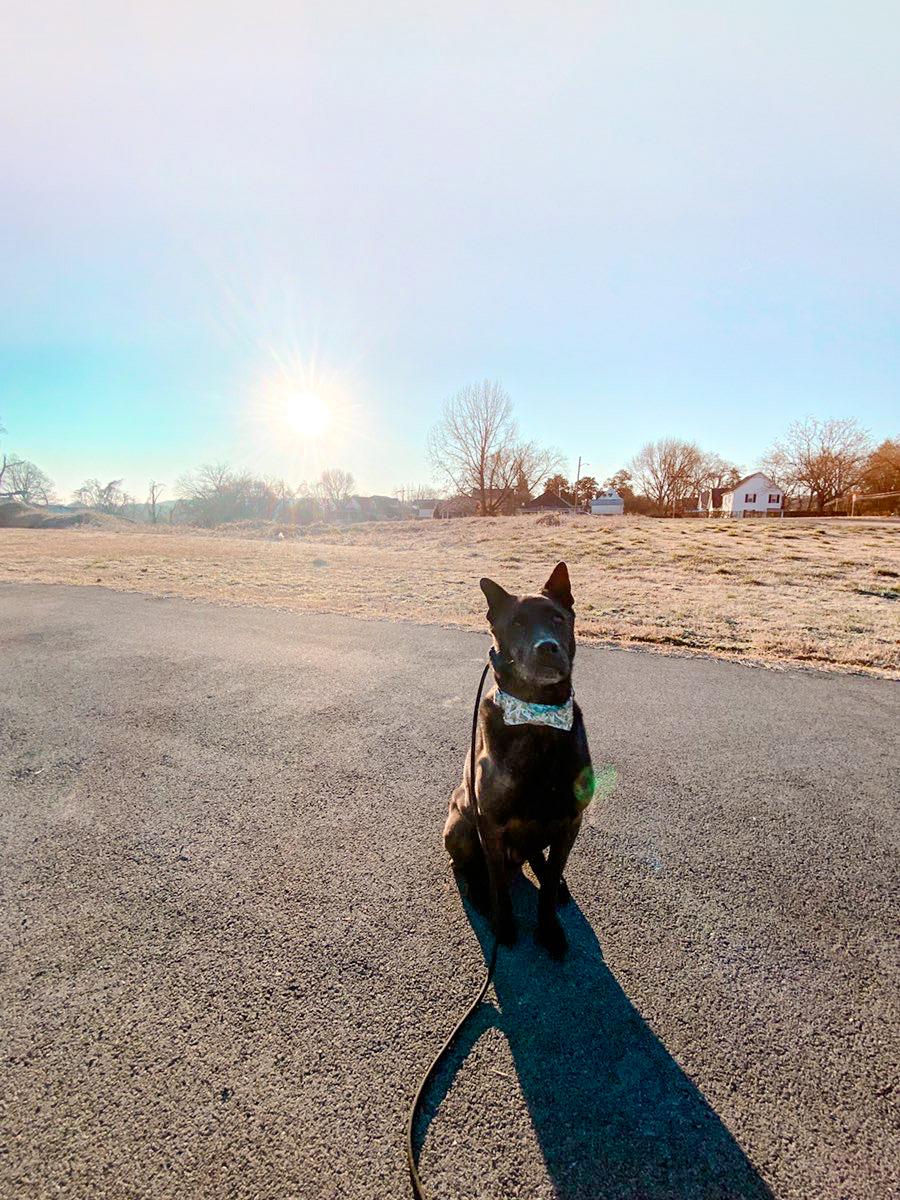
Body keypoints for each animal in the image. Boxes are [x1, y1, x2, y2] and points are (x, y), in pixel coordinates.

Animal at [446, 564, 600, 964]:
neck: (538, 718)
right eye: (516, 624)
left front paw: (549, 929)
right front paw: (504, 924)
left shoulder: (570, 821)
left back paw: (555, 881)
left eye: (557, 619)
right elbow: (500, 886)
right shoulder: (491, 826)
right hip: (459, 825)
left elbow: (547, 887)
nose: (547, 647)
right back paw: (479, 894)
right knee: (466, 869)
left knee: (539, 863)